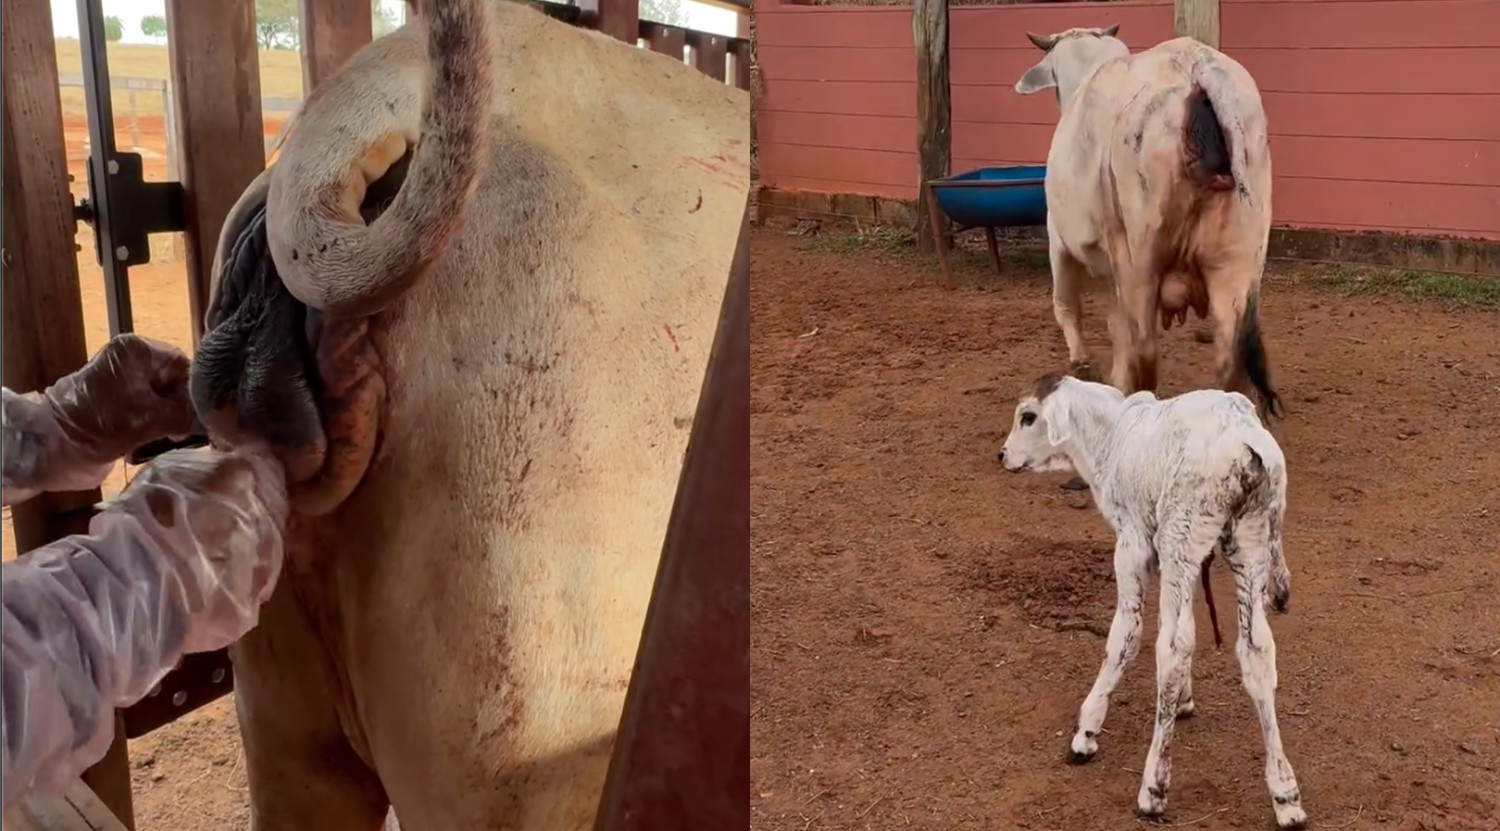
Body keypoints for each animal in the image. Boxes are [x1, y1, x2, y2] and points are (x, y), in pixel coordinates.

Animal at [1012, 26, 1282, 419]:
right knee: (1228, 360)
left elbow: (1067, 306)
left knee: (1144, 352)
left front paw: (1082, 362)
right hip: (1239, 264)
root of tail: (1197, 70)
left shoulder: (1059, 239)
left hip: (1139, 259)